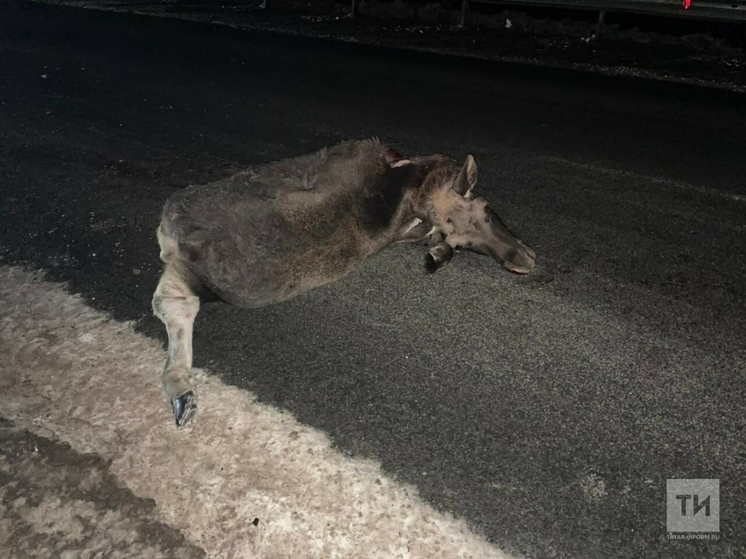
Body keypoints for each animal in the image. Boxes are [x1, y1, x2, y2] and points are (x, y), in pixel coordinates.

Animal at [153, 140, 536, 428]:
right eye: (485, 208)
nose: (524, 260)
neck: (416, 192)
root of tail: (174, 238)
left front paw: (436, 255)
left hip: (185, 272)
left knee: (171, 303)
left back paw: (181, 391)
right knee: (170, 304)